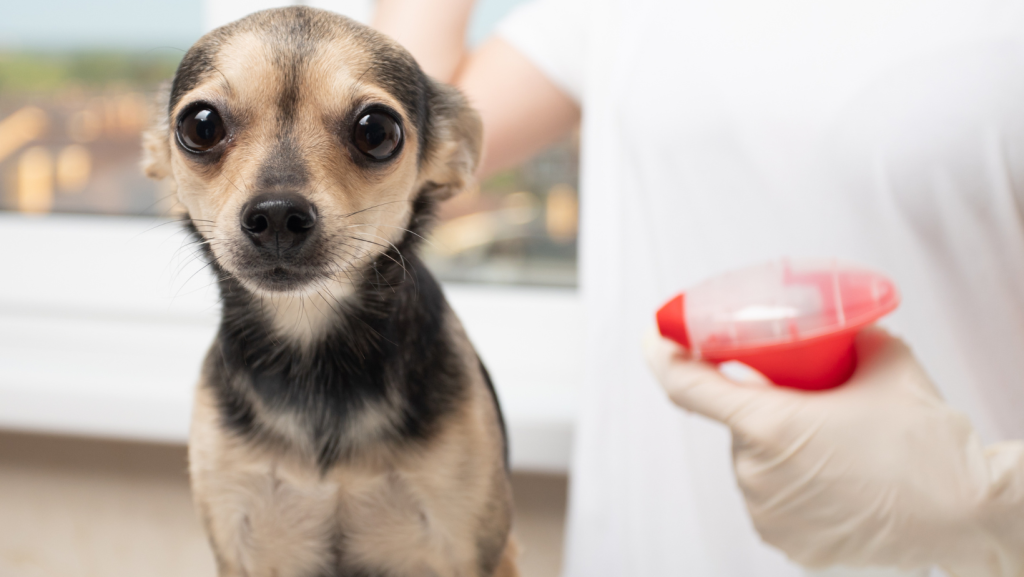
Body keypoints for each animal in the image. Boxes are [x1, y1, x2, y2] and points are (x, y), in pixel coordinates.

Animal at [140, 6, 516, 573]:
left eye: (376, 131)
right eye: (200, 126)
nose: (276, 214)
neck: (312, 344)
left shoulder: (474, 548)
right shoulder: (236, 541)